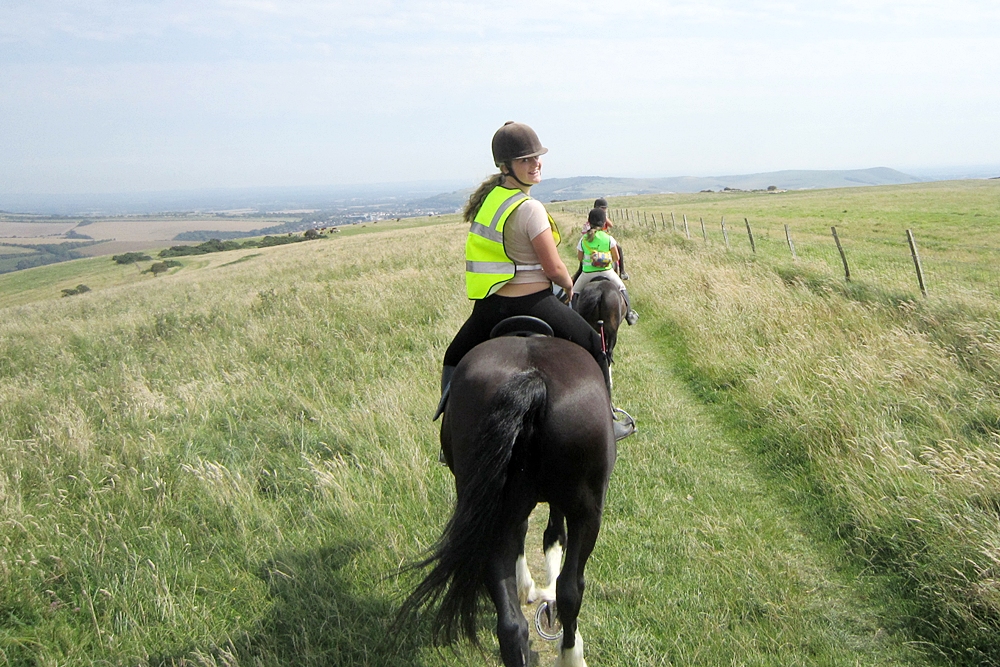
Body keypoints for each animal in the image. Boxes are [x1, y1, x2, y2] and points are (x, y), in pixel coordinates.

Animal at [398, 331, 616, 667]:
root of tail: (532, 380)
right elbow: (553, 536)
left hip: (492, 512)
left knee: (511, 622)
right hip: (587, 513)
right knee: (570, 591)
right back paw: (571, 655)